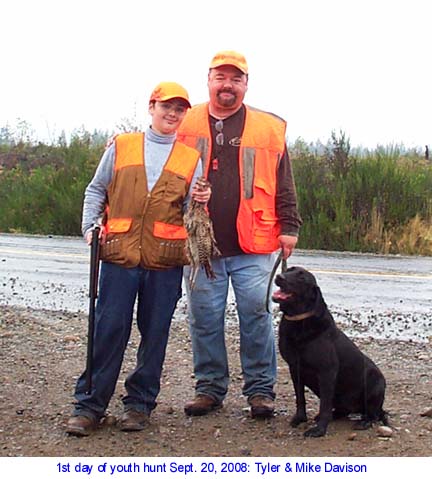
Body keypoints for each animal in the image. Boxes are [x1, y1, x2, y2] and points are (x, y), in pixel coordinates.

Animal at [274, 266, 388, 438]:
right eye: (288, 270)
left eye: (302, 278)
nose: (279, 277)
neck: (300, 323)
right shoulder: (294, 368)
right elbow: (300, 397)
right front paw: (300, 418)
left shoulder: (327, 372)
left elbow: (325, 405)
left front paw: (319, 429)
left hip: (375, 383)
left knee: (373, 414)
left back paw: (364, 422)